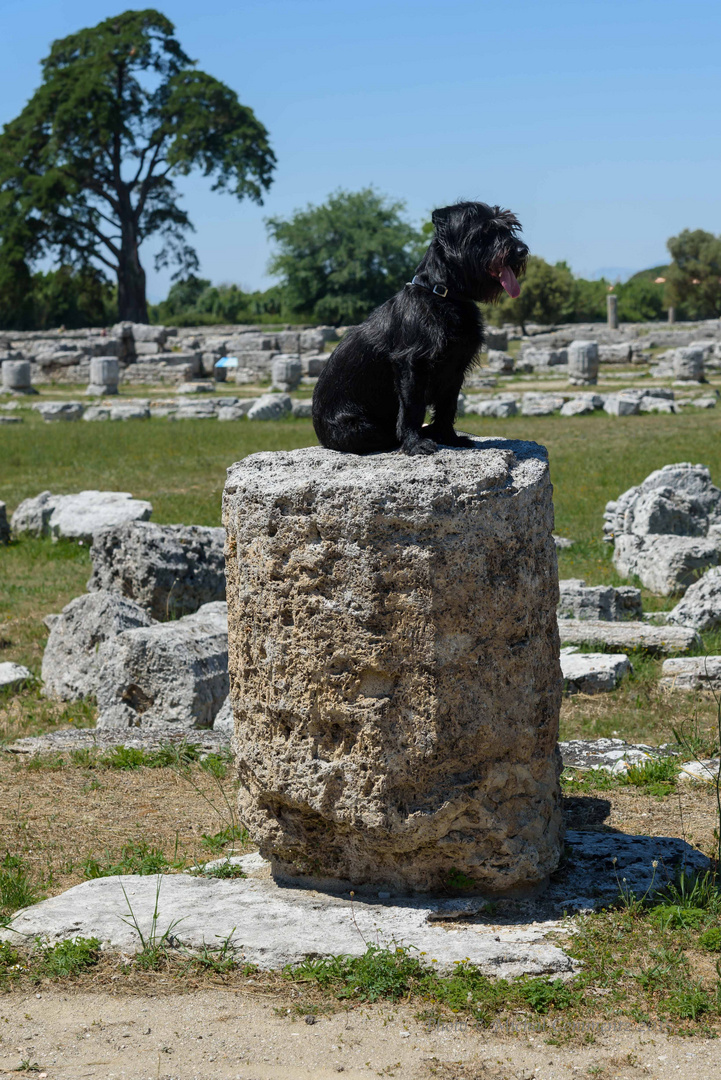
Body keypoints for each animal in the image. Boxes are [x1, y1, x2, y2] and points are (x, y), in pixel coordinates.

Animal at [313, 200, 526, 453]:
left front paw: (449, 437)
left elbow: (447, 406)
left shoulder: (456, 368)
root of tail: (320, 436)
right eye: (485, 232)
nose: (522, 250)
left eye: (509, 228)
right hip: (359, 427)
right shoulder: (412, 364)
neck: (444, 295)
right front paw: (415, 443)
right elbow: (413, 407)